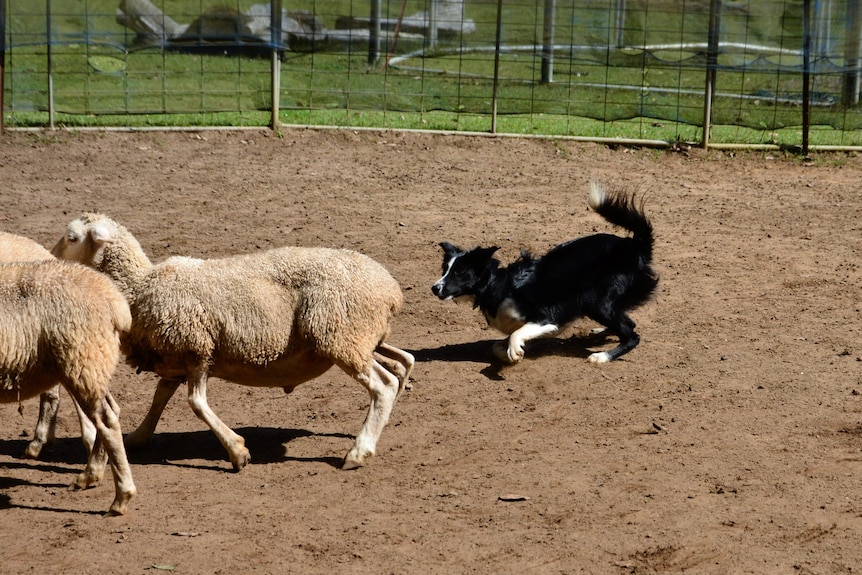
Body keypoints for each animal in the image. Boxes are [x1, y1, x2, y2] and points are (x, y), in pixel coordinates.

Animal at [0, 258, 137, 516]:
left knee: (106, 420)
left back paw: (121, 497)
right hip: (89, 365)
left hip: (82, 359)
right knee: (110, 411)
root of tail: (114, 300)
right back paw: (89, 475)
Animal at [52, 214, 416, 470]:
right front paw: (138, 437)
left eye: (71, 237)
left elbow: (197, 403)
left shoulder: (197, 349)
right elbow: (159, 397)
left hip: (341, 337)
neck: (140, 285)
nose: (51, 259)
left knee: (383, 386)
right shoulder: (177, 356)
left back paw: (359, 451)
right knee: (402, 364)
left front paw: (238, 452)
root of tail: (390, 288)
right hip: (363, 340)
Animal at [432, 183, 660, 364]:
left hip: (594, 300)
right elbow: (498, 345)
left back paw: (602, 357)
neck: (498, 287)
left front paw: (514, 352)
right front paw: (513, 354)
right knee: (629, 323)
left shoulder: (546, 317)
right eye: (445, 270)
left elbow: (516, 334)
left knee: (632, 335)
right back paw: (600, 333)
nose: (434, 288)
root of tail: (634, 246)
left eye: (460, 272)